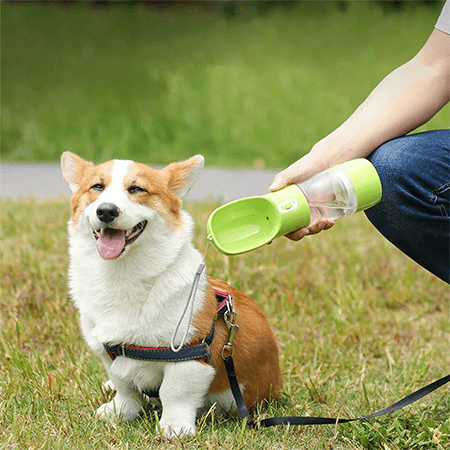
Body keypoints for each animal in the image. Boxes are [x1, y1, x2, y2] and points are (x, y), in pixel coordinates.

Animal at [61, 153, 284, 438]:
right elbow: (125, 387)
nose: (106, 211)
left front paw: (174, 428)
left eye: (136, 189)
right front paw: (119, 412)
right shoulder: (107, 352)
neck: (122, 275)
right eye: (97, 187)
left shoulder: (189, 356)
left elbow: (174, 392)